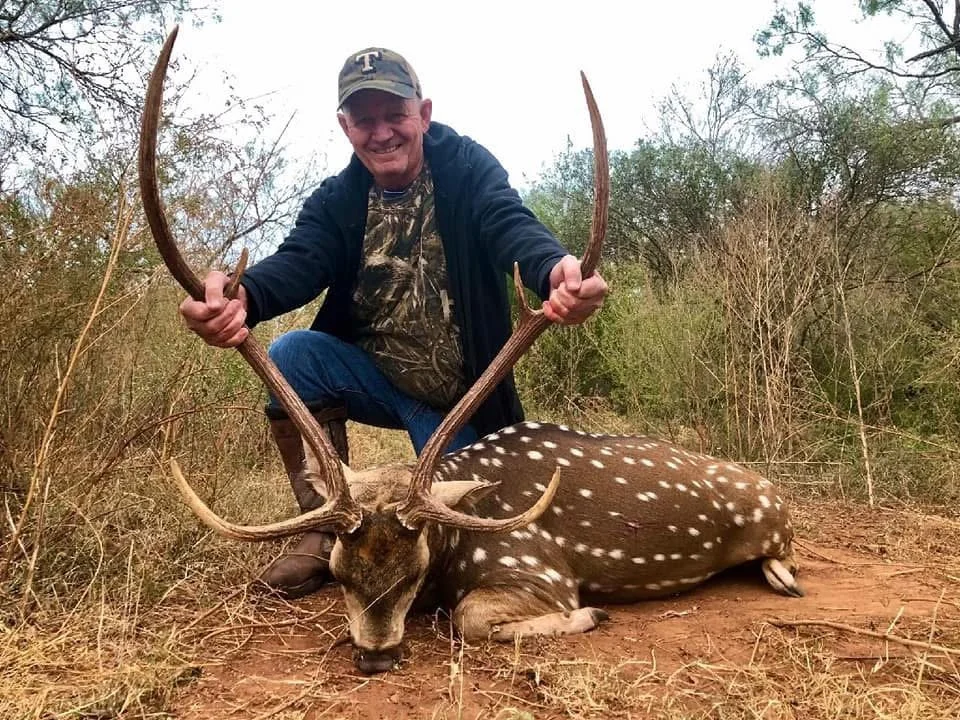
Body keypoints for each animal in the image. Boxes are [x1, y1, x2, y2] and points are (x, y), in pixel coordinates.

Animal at [138, 27, 804, 675]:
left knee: (783, 551)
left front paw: (591, 614)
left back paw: (783, 576)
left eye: (414, 569)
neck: (461, 540)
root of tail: (772, 488)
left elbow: (471, 617)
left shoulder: (537, 567)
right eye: (338, 572)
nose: (375, 657)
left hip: (770, 523)